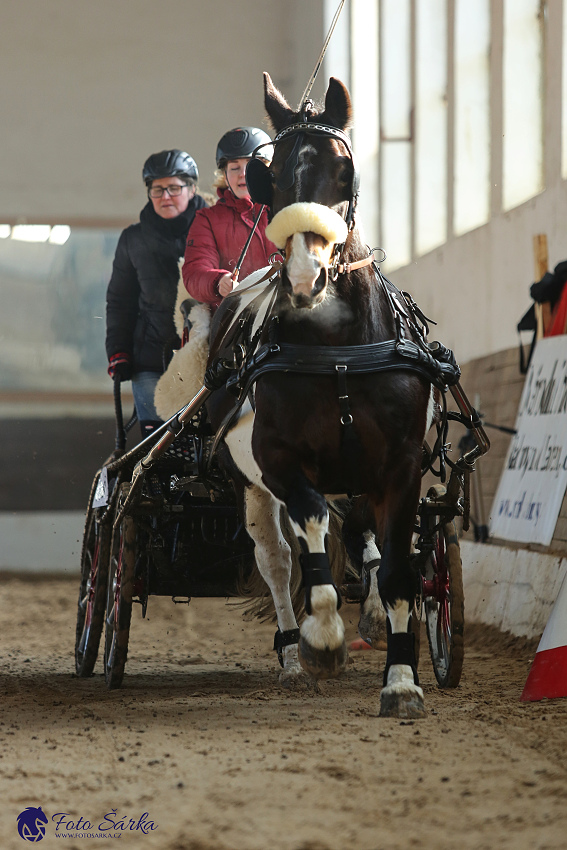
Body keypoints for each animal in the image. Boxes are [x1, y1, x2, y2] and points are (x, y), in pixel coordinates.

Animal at [206, 73, 438, 716]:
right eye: (274, 175)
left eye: (343, 170)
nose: (305, 276)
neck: (337, 351)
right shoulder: (278, 459)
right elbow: (309, 535)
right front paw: (324, 638)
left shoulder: (401, 465)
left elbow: (400, 568)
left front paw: (402, 681)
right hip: (252, 487)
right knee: (280, 560)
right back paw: (292, 655)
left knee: (363, 541)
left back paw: (376, 618)